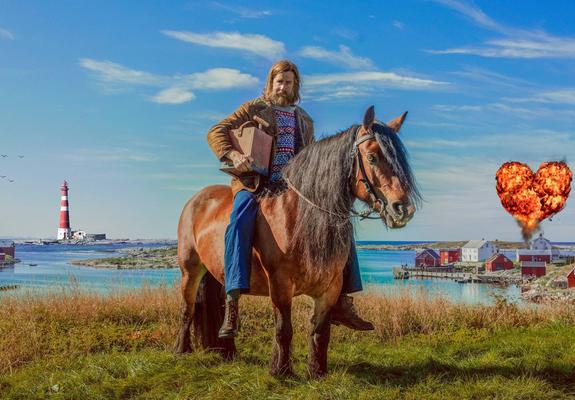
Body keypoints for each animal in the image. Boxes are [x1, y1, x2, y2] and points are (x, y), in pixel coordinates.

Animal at [173, 106, 420, 378]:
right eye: (373, 157)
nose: (403, 209)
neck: (299, 217)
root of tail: (197, 199)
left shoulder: (330, 289)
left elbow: (321, 332)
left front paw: (317, 372)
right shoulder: (280, 286)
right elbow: (284, 330)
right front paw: (281, 371)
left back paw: (226, 349)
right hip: (190, 270)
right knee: (187, 308)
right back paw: (182, 349)